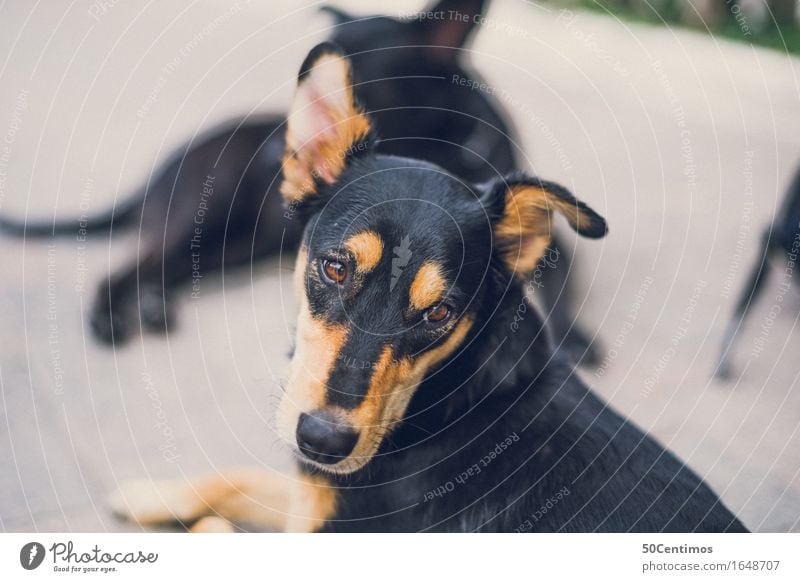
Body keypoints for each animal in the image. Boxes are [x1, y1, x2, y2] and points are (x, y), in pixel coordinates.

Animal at [108, 42, 752, 532]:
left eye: (439, 313)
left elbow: (216, 527)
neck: (448, 400)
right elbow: (240, 479)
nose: (322, 442)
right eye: (335, 269)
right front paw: (148, 494)